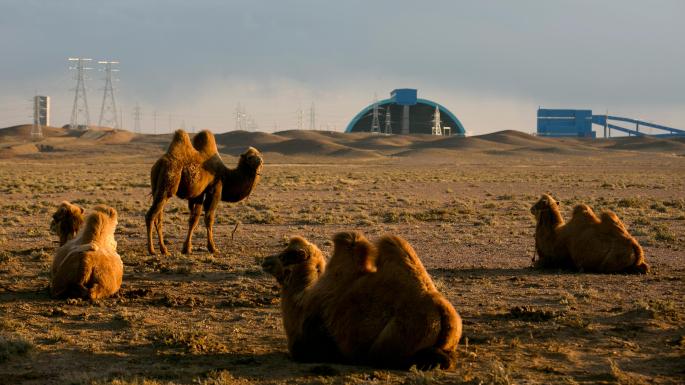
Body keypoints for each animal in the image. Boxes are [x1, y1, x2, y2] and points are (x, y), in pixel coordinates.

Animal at [264, 231, 462, 368]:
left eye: (285, 256)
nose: (265, 261)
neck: (301, 301)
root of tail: (442, 312)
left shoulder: (310, 342)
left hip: (396, 337)